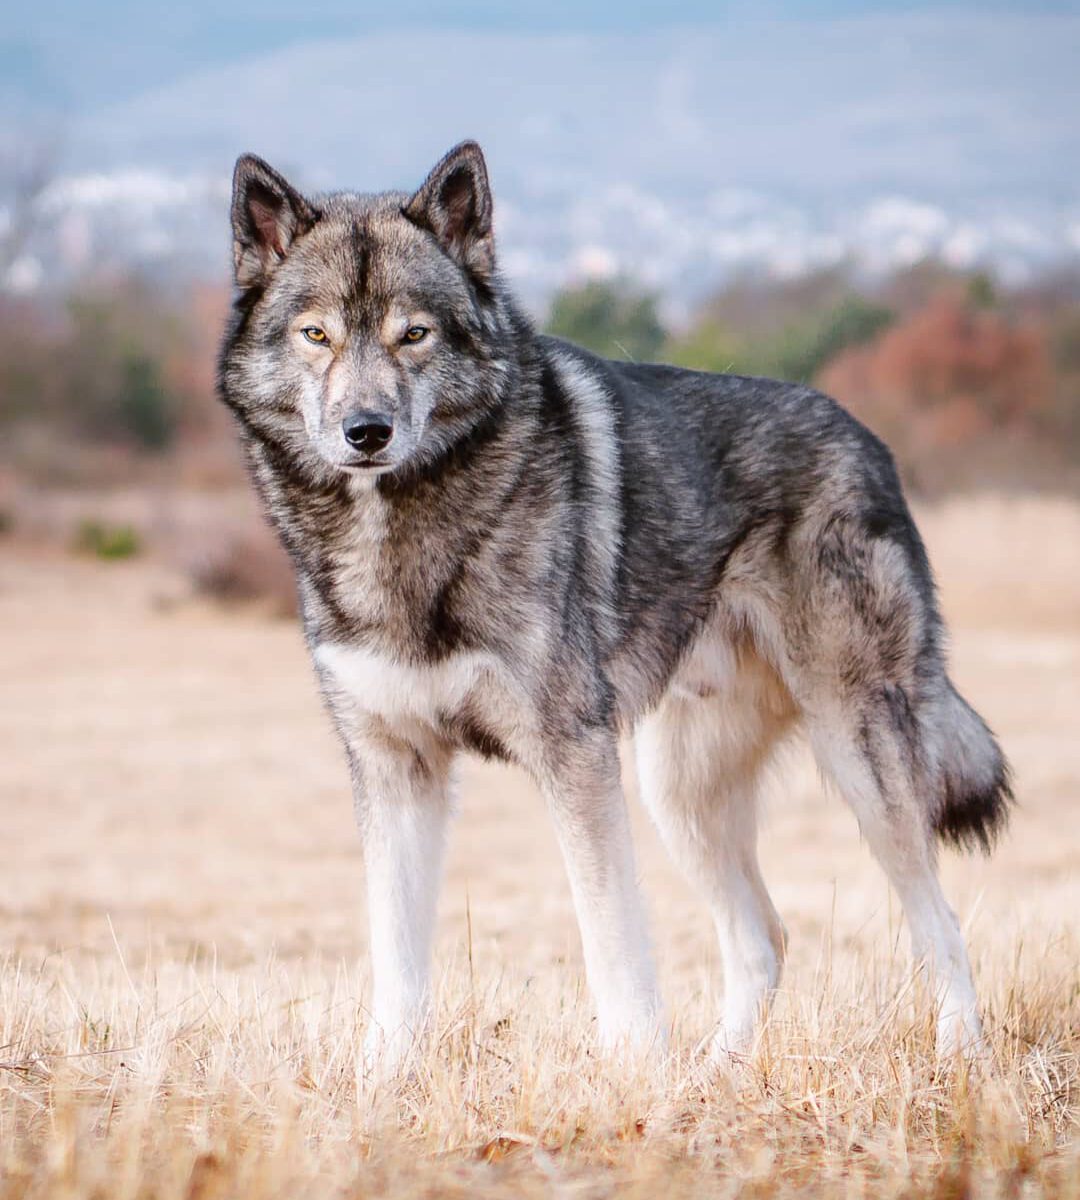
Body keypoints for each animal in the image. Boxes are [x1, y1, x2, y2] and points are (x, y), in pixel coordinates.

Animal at [219, 140, 1012, 1070]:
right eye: (317, 335)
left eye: (413, 335)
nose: (366, 432)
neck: (405, 536)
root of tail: (873, 445)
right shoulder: (395, 770)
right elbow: (397, 958)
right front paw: (383, 1079)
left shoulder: (574, 758)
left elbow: (613, 944)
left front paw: (633, 1072)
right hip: (681, 796)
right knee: (765, 937)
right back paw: (716, 1074)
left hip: (856, 760)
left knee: (939, 920)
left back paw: (960, 1057)